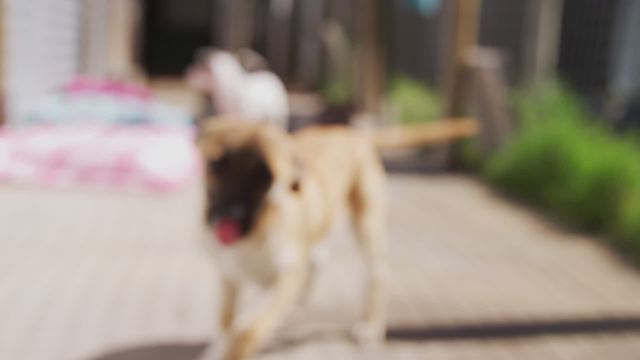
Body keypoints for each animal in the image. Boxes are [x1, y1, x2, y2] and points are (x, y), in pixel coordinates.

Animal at [196, 116, 384, 358]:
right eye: (217, 164)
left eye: (266, 175)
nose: (229, 216)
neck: (257, 230)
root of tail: (352, 132)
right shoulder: (229, 273)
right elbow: (227, 321)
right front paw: (218, 347)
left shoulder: (287, 275)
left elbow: (247, 329)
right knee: (318, 259)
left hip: (367, 226)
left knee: (377, 275)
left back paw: (370, 325)